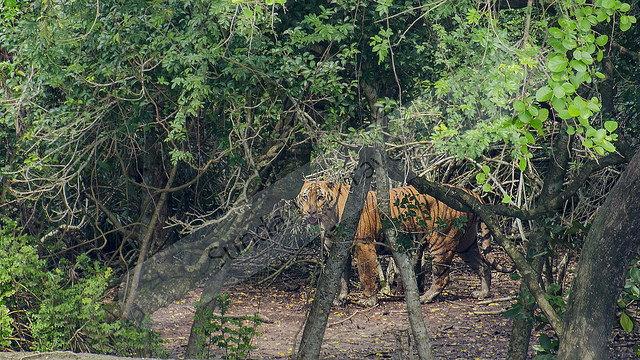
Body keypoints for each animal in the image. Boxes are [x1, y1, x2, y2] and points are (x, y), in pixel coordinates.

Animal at [296, 180, 516, 306]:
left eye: (320, 197)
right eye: (305, 197)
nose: (310, 212)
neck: (329, 220)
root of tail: (470, 193)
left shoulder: (363, 246)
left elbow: (366, 275)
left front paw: (368, 301)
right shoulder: (337, 251)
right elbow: (341, 277)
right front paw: (339, 299)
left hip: (441, 241)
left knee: (442, 276)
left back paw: (425, 298)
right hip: (466, 244)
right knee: (483, 266)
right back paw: (483, 292)